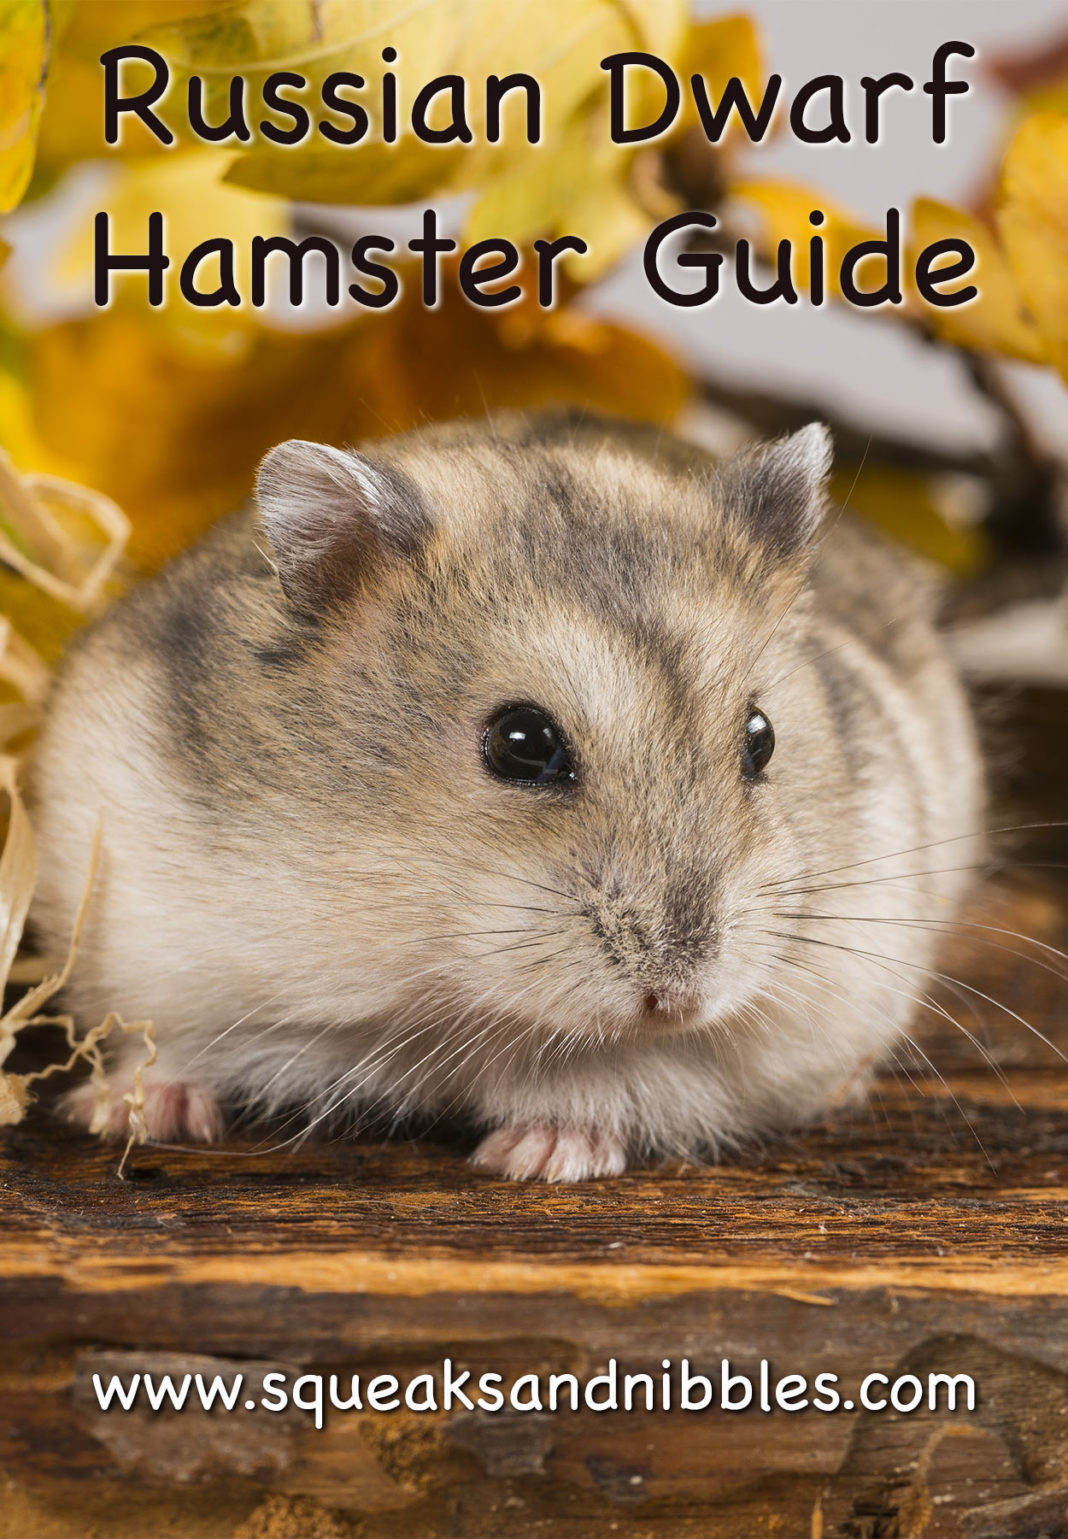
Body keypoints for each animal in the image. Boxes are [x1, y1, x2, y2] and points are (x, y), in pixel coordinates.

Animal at [27, 412, 984, 1180]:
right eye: (521, 742)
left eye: (762, 736)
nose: (680, 998)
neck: (452, 991)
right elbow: (169, 1043)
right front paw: (123, 1112)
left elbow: (623, 1081)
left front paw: (535, 1156)